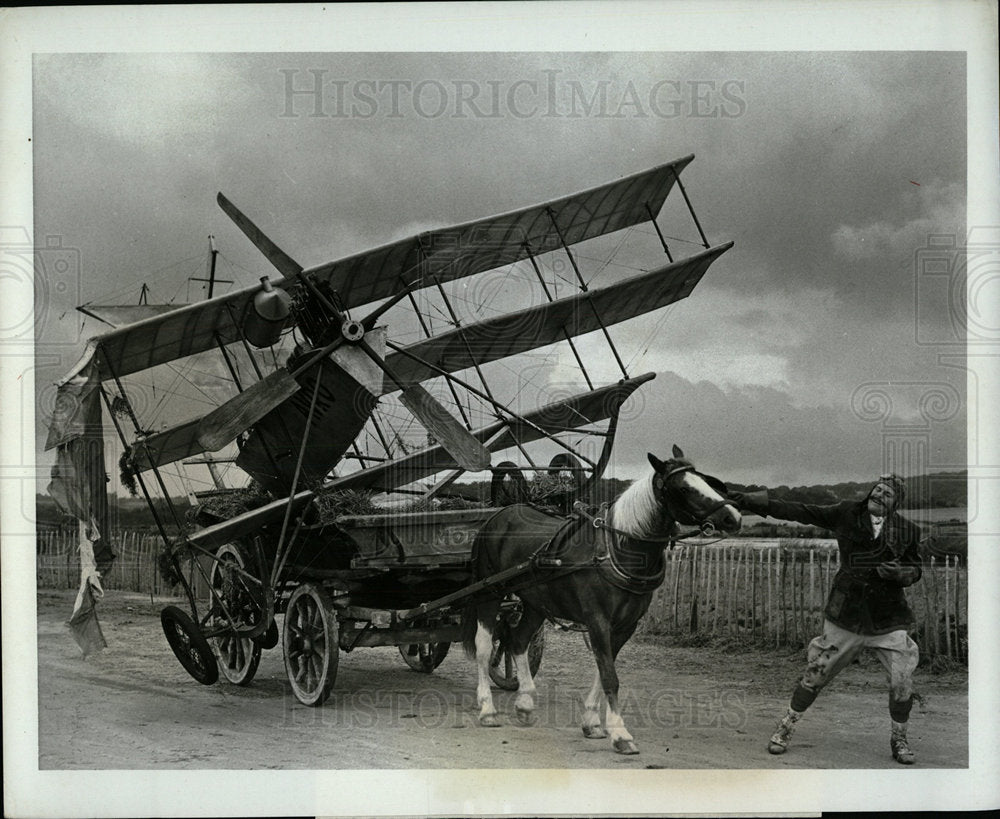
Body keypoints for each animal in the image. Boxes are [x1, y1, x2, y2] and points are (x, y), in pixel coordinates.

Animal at [462, 448, 744, 756]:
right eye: (683, 488)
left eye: (706, 479)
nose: (733, 517)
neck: (618, 549)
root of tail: (499, 514)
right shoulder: (597, 620)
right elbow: (610, 675)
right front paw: (620, 734)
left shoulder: (625, 626)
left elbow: (603, 669)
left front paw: (592, 723)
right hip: (489, 594)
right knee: (484, 647)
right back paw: (488, 709)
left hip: (536, 602)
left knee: (518, 640)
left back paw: (525, 703)